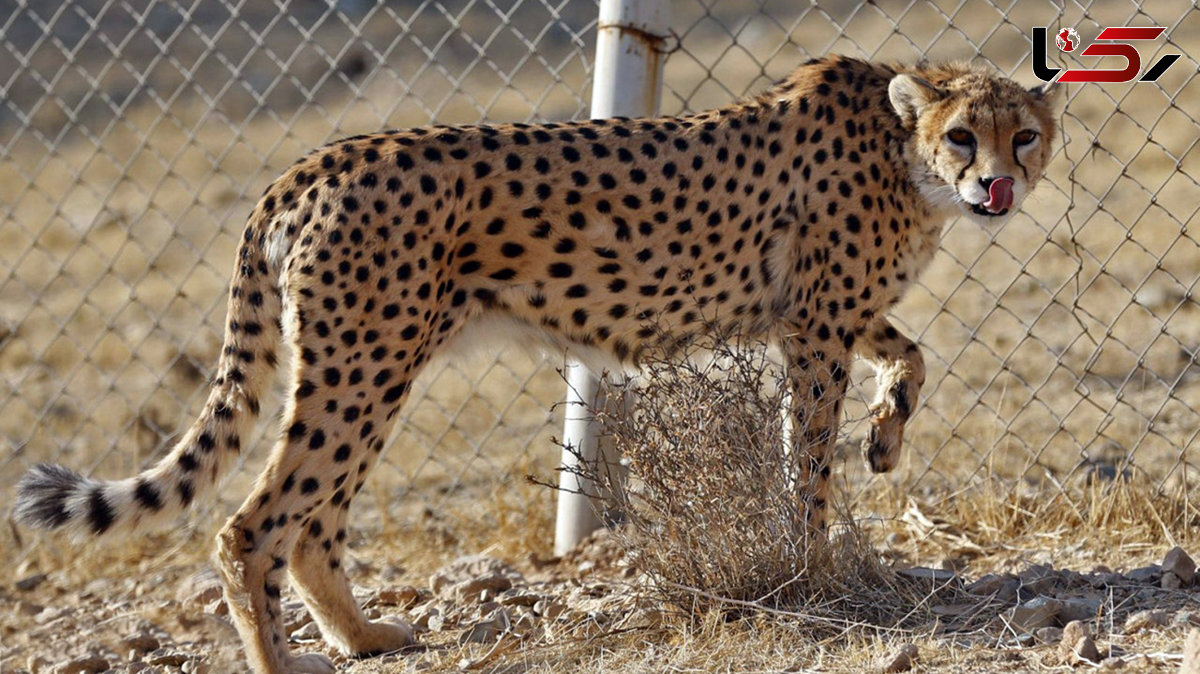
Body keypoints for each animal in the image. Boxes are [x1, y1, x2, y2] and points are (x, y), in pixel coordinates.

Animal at [14, 59, 1056, 671]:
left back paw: (364, 637)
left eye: (1025, 135)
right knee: (254, 526)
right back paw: (286, 657)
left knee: (311, 525)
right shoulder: (813, 322)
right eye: (962, 135)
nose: (997, 185)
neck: (903, 151)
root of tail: (313, 161)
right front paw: (815, 557)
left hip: (369, 367)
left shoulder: (820, 312)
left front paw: (884, 439)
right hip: (364, 365)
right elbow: (806, 458)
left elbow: (911, 354)